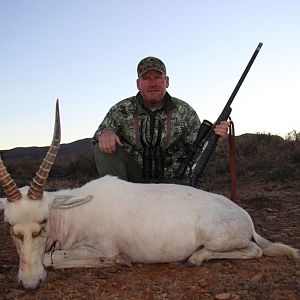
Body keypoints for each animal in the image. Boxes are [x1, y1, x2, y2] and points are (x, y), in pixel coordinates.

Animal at [0, 101, 298, 290]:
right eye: (10, 226)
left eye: (43, 222)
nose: (30, 283)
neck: (74, 212)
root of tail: (245, 216)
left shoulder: (100, 247)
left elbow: (52, 259)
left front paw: (120, 261)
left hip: (219, 238)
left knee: (255, 250)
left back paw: (196, 257)